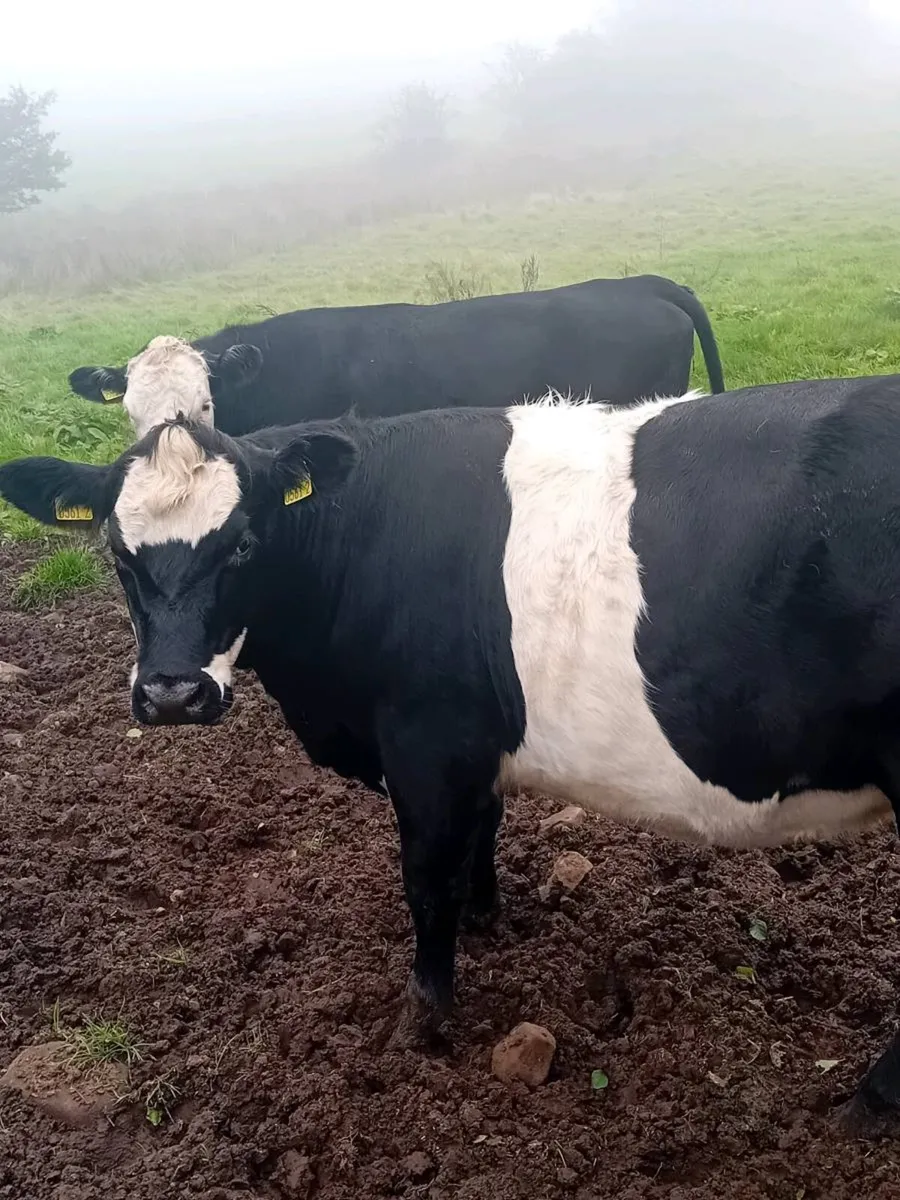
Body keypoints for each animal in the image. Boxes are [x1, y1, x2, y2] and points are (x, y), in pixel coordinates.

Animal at [4, 374, 900, 1133]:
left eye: (244, 544)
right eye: (118, 555)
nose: (171, 695)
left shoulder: (426, 741)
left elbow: (427, 879)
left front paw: (426, 1018)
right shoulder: (472, 745)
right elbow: (481, 837)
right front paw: (486, 921)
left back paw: (868, 1106)